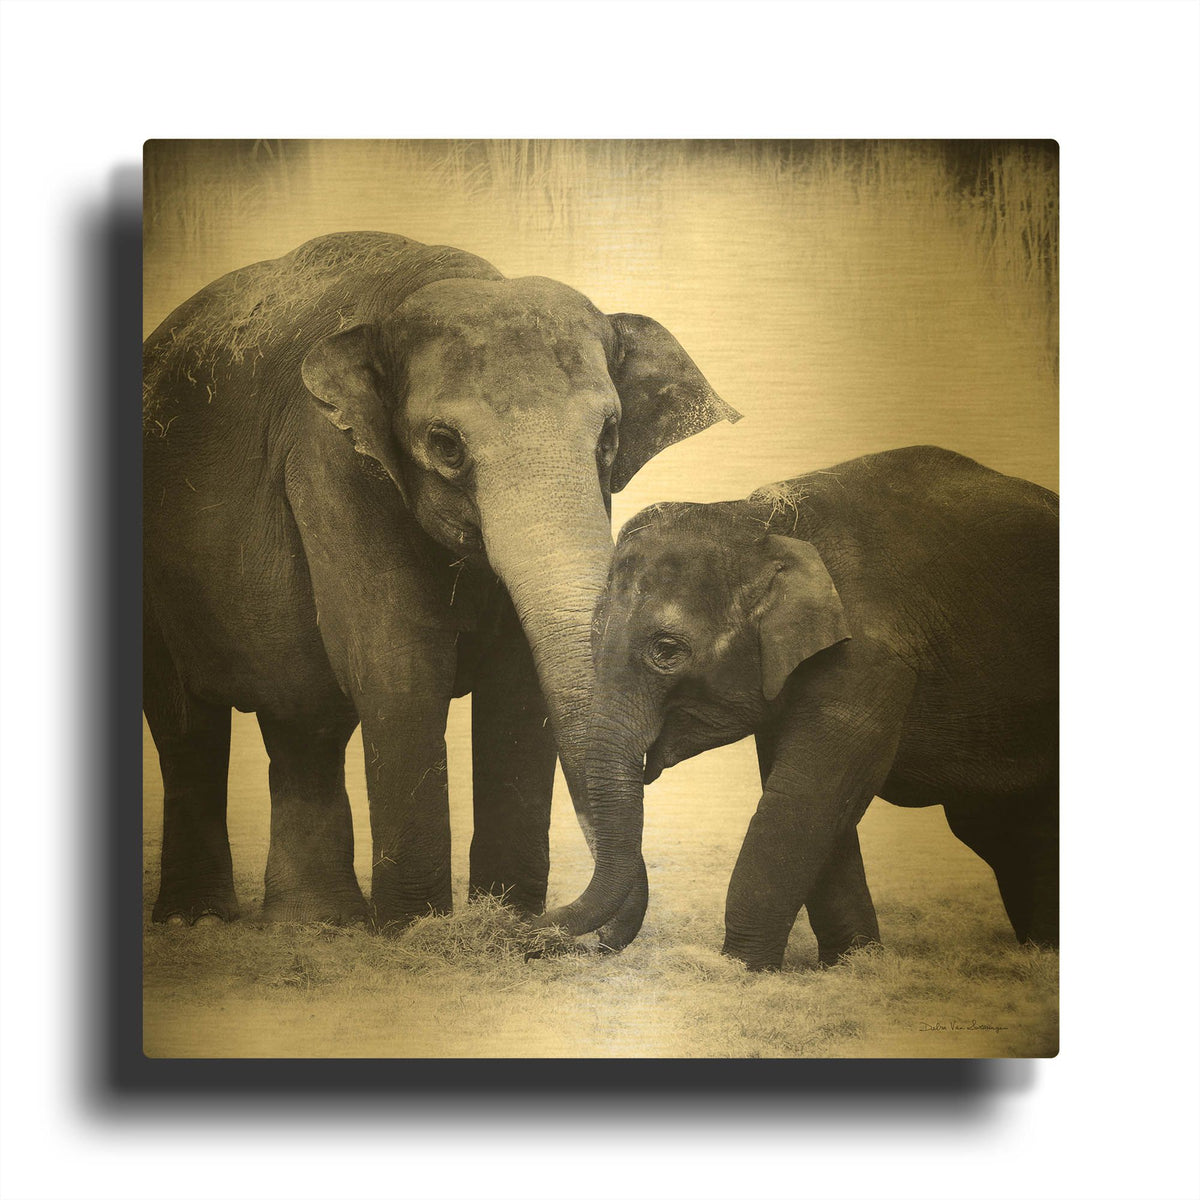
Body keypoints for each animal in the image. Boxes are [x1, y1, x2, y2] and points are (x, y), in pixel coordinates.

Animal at [143, 231, 739, 937]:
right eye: (446, 444)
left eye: (609, 436)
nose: (553, 929)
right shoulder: (333, 465)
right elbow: (398, 668)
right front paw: (416, 932)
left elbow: (519, 685)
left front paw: (500, 919)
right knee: (186, 726)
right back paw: (198, 922)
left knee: (302, 723)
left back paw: (315, 925)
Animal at [539, 446, 1058, 970]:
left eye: (666, 650)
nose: (537, 932)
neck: (766, 521)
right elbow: (814, 803)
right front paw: (850, 965)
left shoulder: (869, 657)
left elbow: (802, 798)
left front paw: (740, 967)